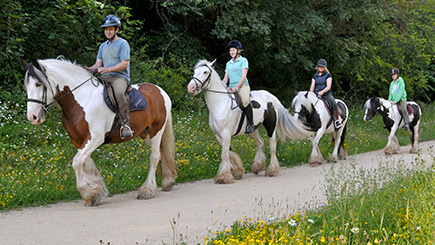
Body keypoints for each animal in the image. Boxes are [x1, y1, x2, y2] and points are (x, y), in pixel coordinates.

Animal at [23, 58, 177, 206]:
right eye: (26, 86)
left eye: (38, 84)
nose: (32, 117)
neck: (81, 100)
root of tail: (160, 90)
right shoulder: (77, 140)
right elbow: (88, 165)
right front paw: (96, 194)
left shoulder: (95, 138)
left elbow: (77, 162)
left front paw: (88, 194)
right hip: (145, 133)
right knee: (162, 151)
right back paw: (168, 181)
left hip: (156, 129)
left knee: (155, 156)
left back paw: (147, 190)